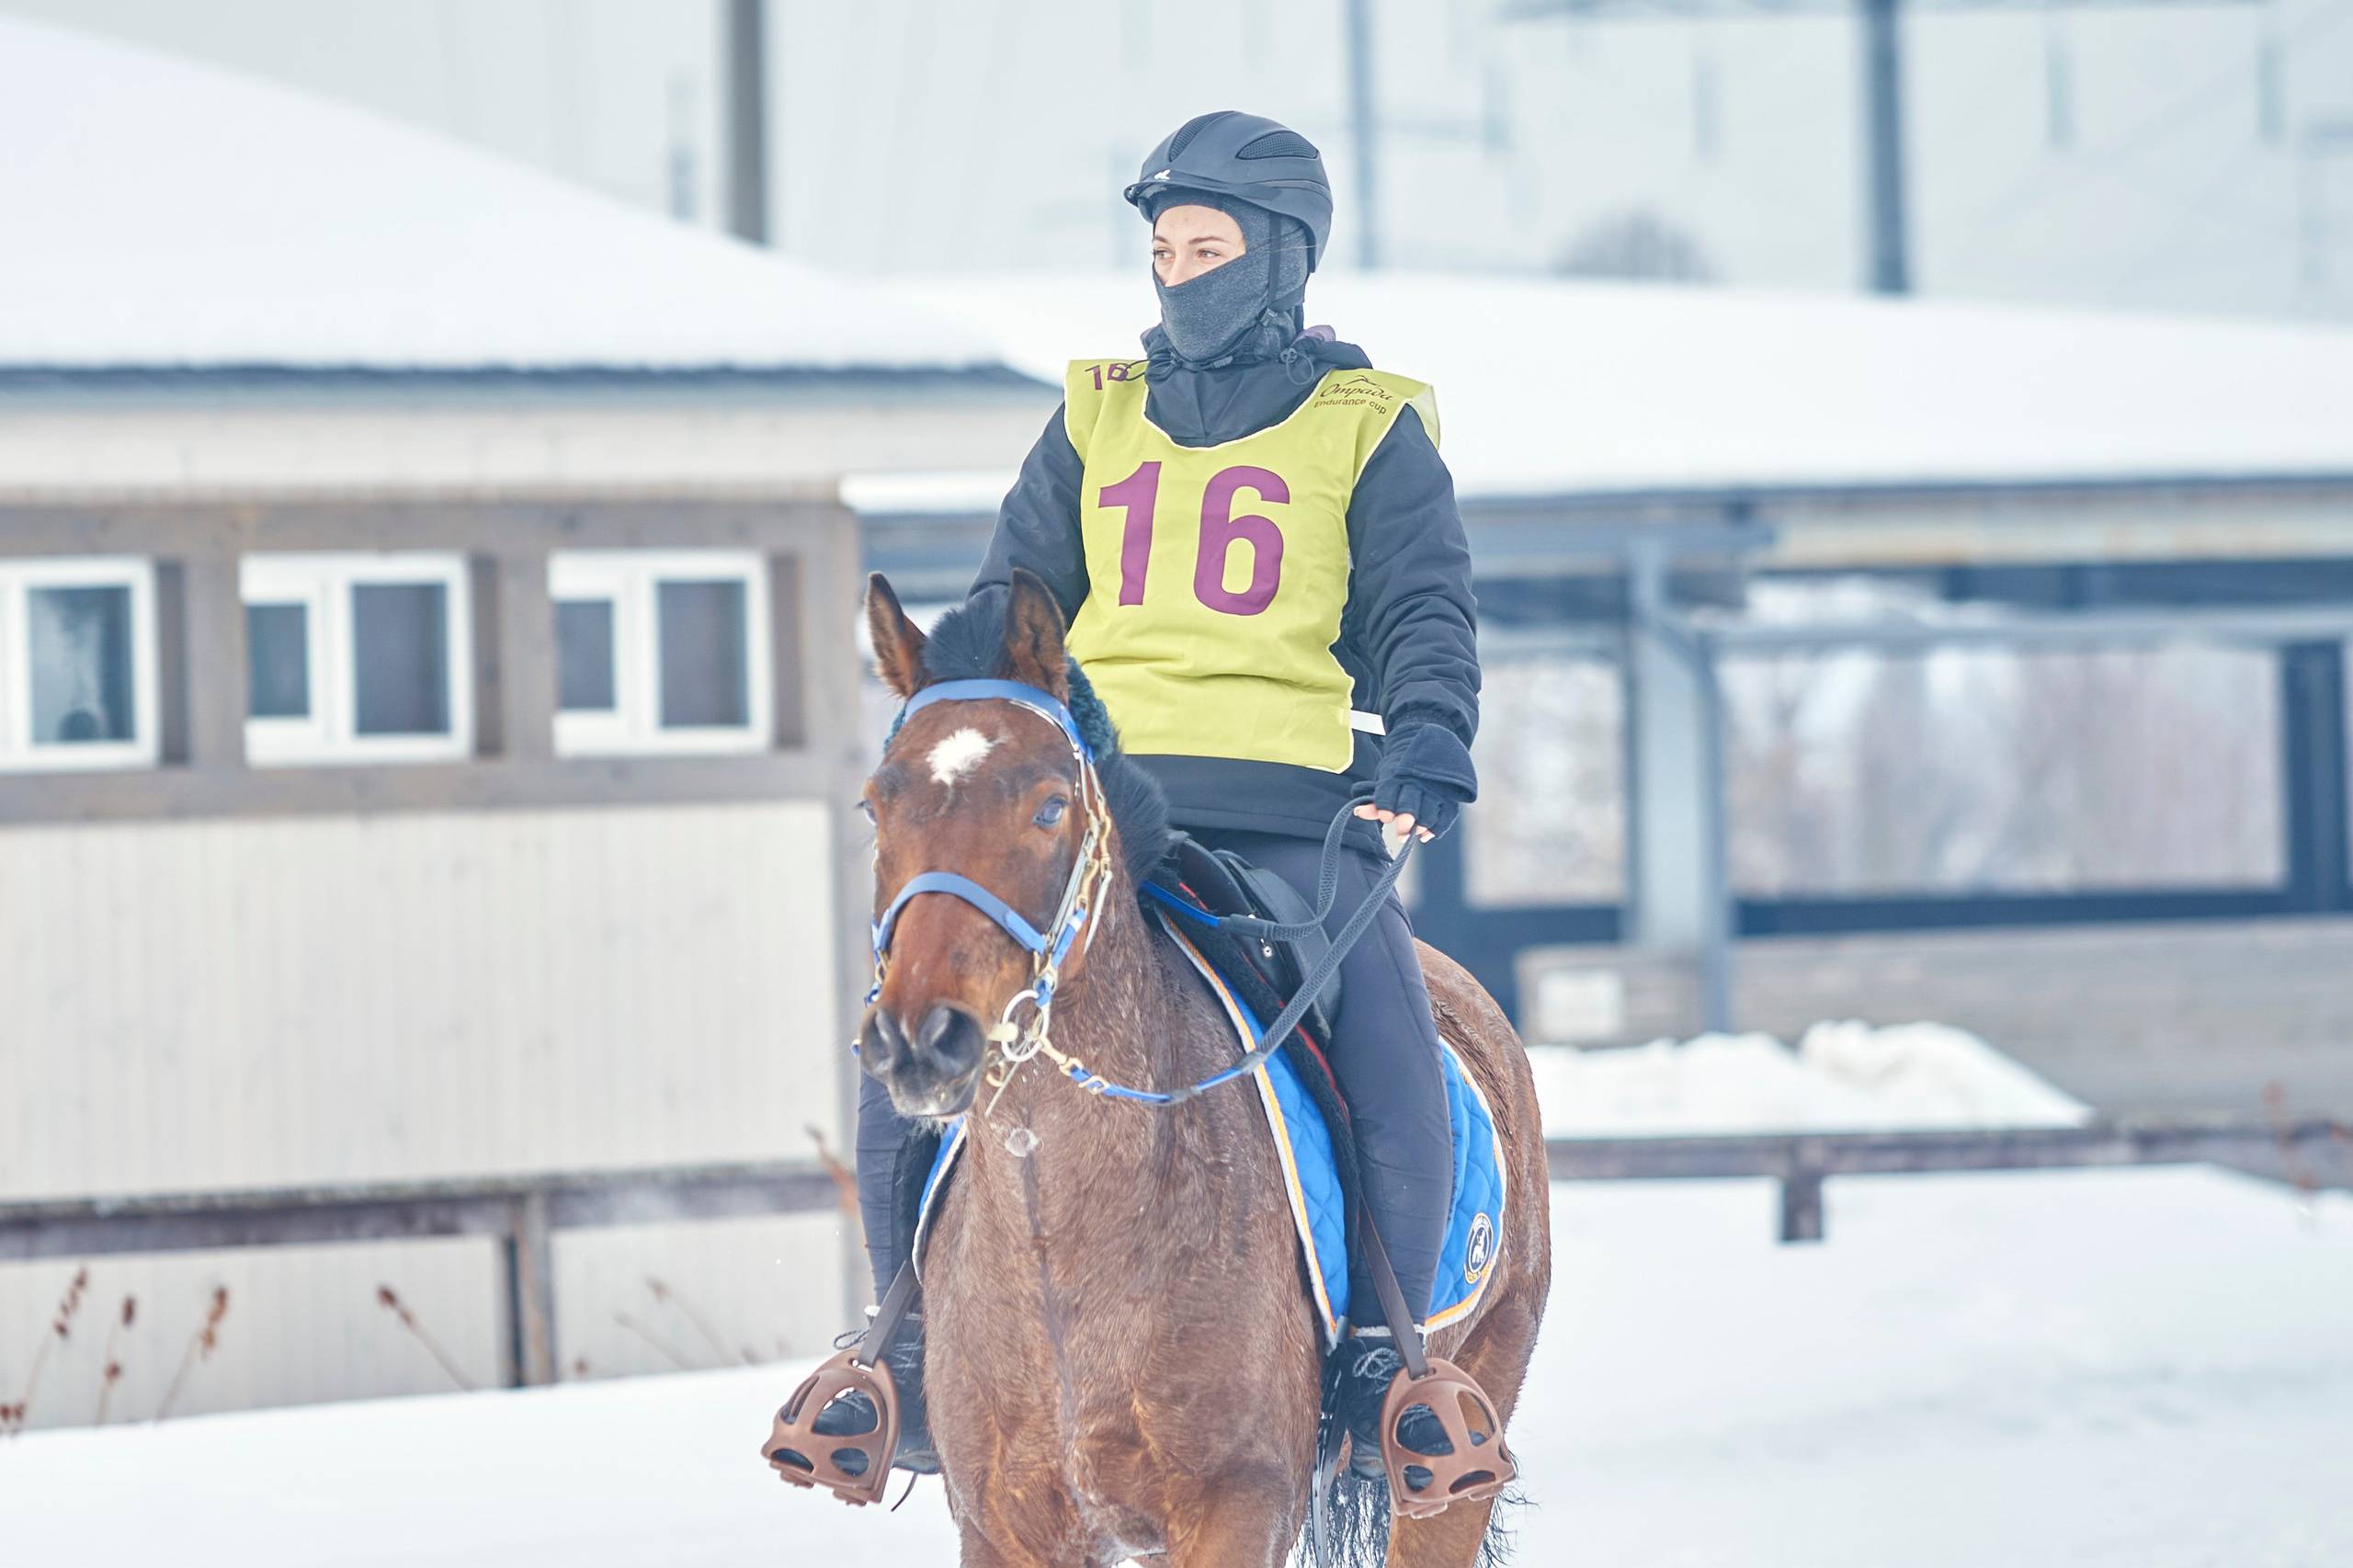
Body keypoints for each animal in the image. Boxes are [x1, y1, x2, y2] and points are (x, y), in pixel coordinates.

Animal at [842, 568, 1549, 1568]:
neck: (1060, 1238)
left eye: (1049, 805)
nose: (920, 1036)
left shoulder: (1238, 1509)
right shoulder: (1005, 1521)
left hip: (1456, 1445)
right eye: (877, 804)